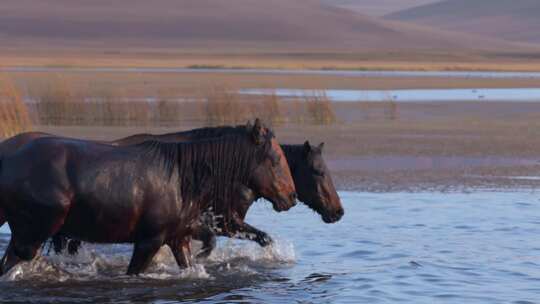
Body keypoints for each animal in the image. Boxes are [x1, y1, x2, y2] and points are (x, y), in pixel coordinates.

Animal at [0, 120, 296, 276]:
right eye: (275, 160)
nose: (291, 198)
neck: (182, 178)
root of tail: (9, 159)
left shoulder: (180, 237)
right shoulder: (150, 240)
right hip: (32, 235)